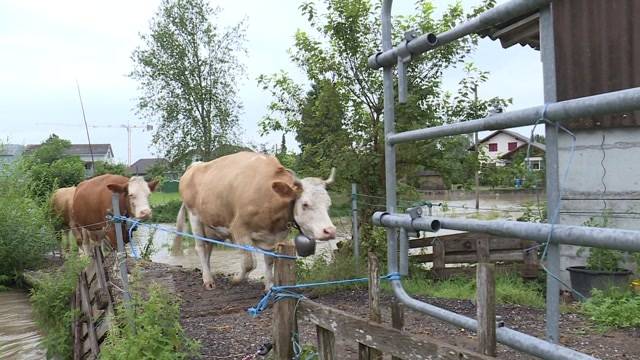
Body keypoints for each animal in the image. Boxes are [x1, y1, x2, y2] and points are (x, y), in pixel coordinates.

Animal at [172, 151, 338, 290]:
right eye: (305, 204)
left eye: (329, 204)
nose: (330, 231)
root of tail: (195, 166)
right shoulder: (239, 229)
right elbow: (249, 264)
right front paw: (235, 279)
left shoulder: (274, 236)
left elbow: (269, 260)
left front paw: (269, 287)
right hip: (194, 215)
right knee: (200, 247)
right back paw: (208, 280)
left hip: (212, 224)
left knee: (209, 247)